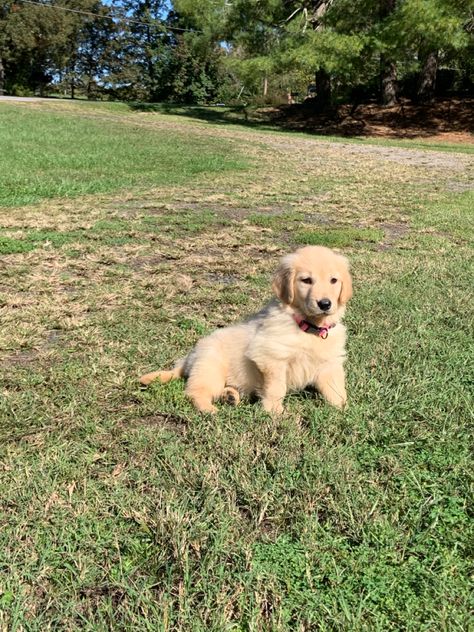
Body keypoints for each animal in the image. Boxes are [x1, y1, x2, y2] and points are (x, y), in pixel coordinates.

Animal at [141, 246, 352, 414]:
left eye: (334, 280)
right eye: (306, 280)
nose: (325, 304)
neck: (308, 327)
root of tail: (188, 358)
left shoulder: (329, 364)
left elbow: (336, 390)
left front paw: (345, 411)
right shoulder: (271, 357)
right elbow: (276, 388)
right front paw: (275, 412)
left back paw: (230, 396)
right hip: (210, 369)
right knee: (194, 392)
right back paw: (208, 408)